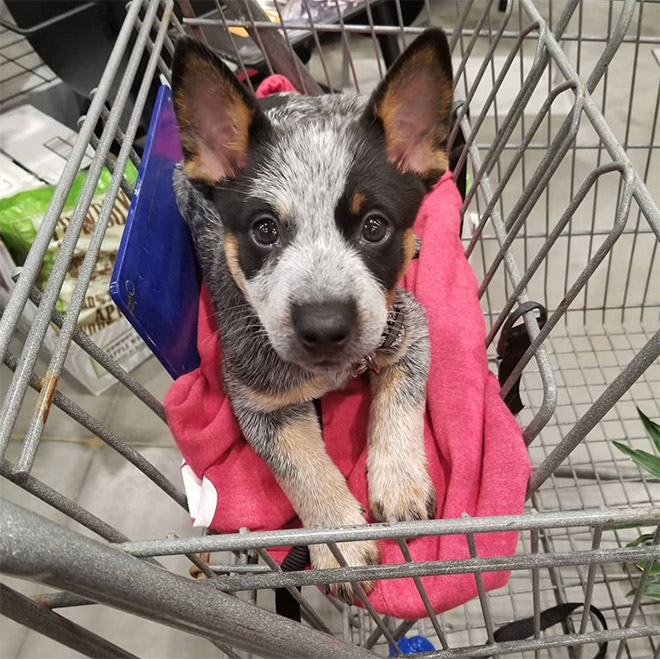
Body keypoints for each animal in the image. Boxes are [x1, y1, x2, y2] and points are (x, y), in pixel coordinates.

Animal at [171, 28, 454, 600]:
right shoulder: (256, 402)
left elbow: (403, 399)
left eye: (374, 226)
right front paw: (339, 542)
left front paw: (399, 480)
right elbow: (304, 470)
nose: (324, 328)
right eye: (264, 229)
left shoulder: (408, 329)